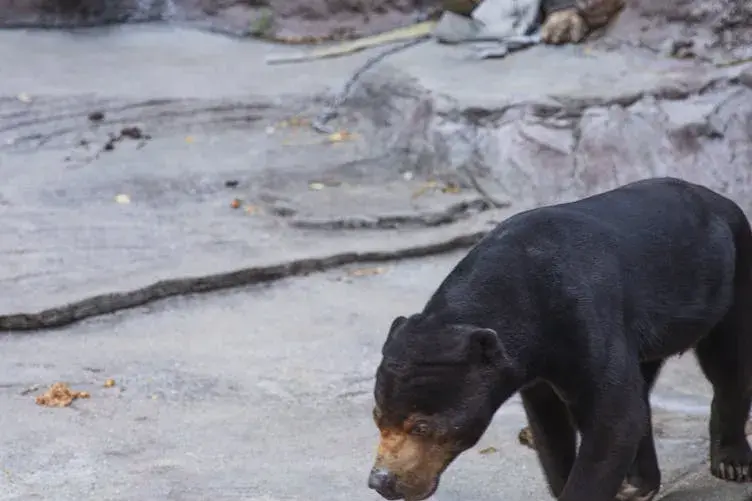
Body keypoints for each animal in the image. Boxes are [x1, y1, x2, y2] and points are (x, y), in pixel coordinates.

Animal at [367, 177, 752, 501]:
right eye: (377, 416)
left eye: (422, 426)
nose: (381, 481)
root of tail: (719, 199)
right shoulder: (535, 366)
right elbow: (551, 425)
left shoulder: (583, 316)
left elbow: (615, 415)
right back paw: (640, 483)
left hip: (731, 277)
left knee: (728, 363)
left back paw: (731, 461)